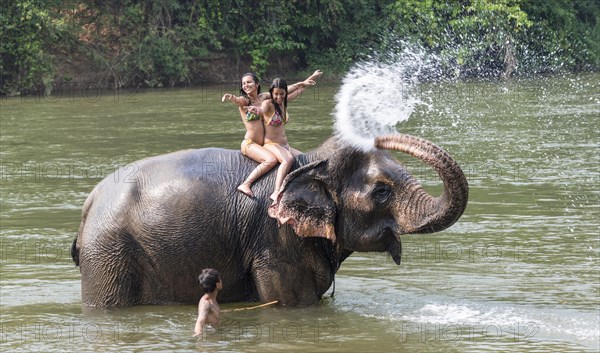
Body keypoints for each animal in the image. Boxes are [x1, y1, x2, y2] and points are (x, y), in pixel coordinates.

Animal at [71, 133, 468, 306]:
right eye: (382, 191)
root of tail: (89, 203)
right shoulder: (274, 241)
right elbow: (290, 301)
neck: (310, 160)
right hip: (109, 254)